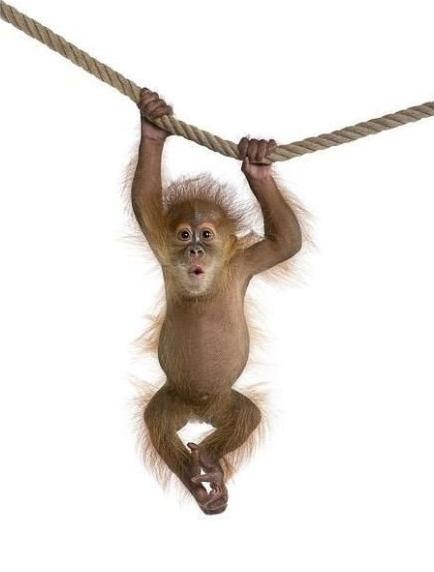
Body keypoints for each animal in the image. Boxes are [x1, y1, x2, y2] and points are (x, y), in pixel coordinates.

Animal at [131, 88, 303, 515]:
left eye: (206, 235)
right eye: (184, 235)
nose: (194, 250)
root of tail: (200, 411)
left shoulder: (243, 264)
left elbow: (286, 241)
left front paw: (257, 163)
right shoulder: (161, 246)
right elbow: (143, 199)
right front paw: (153, 124)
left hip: (225, 403)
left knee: (247, 416)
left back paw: (208, 462)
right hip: (174, 398)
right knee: (157, 423)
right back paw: (199, 484)